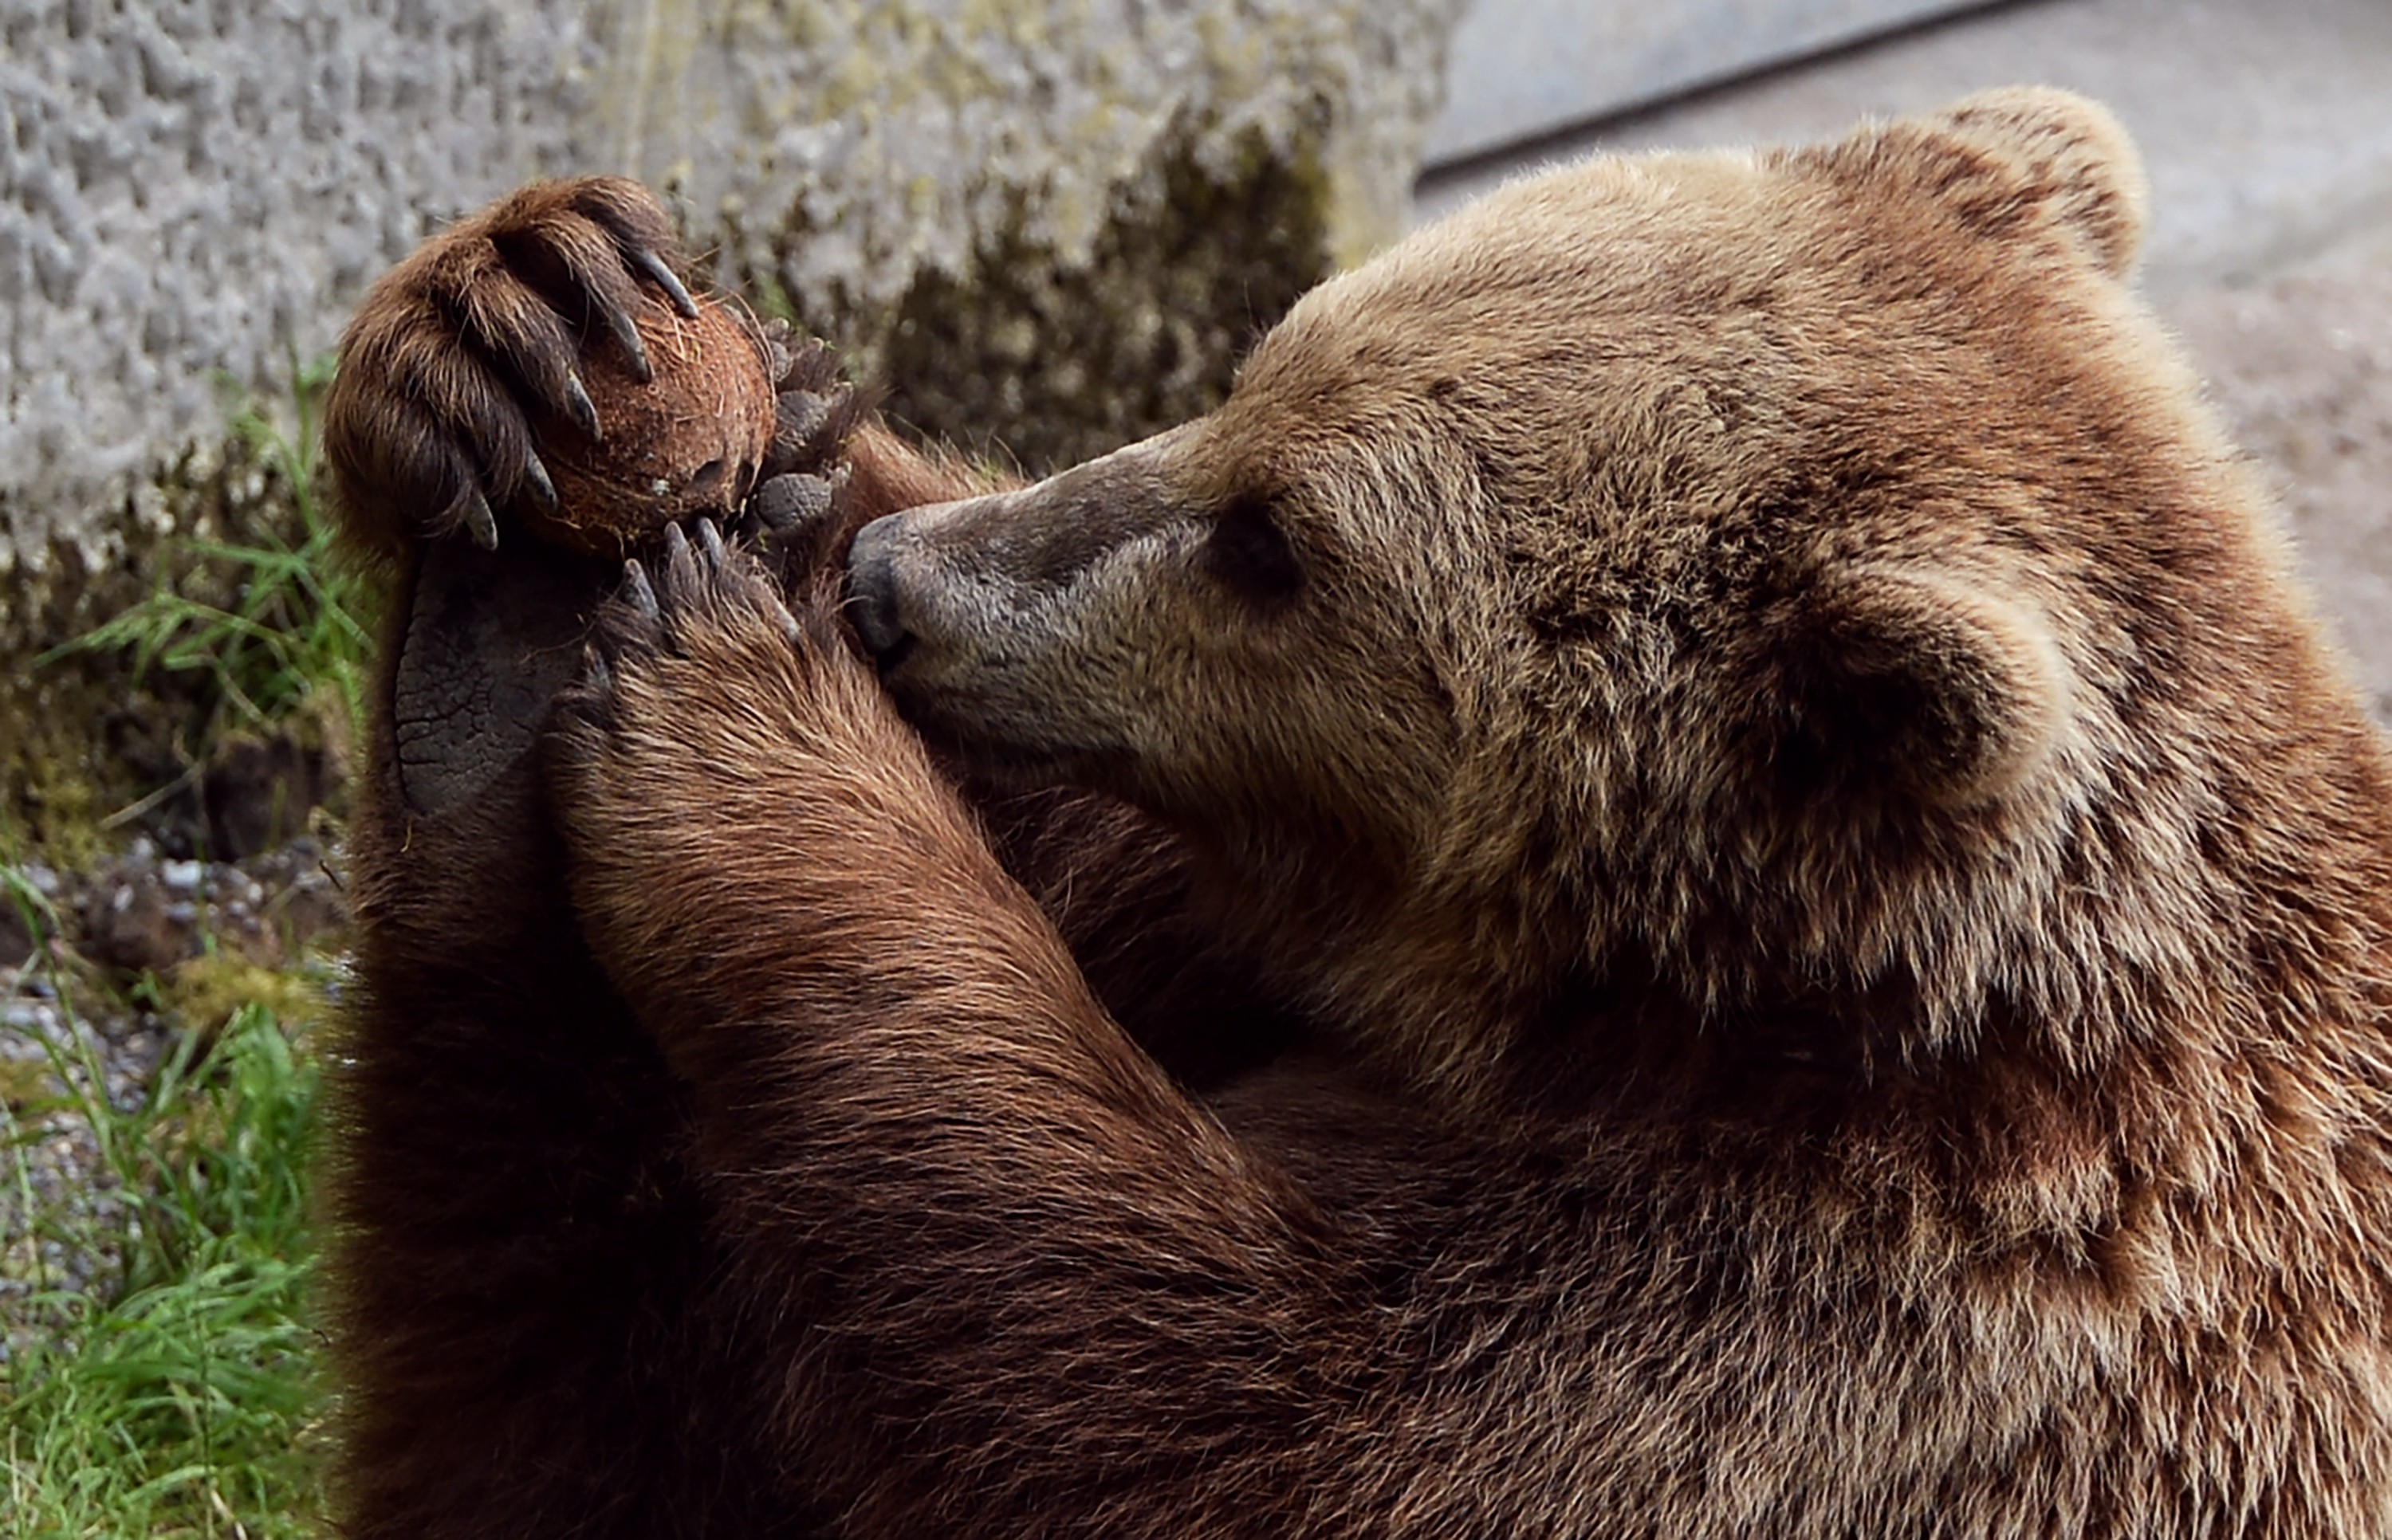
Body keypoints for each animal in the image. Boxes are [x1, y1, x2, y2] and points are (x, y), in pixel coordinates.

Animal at [328, 90, 2392, 1530]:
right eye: (1250, 371)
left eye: (1275, 550)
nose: (906, 591)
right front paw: (540, 323)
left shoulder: (1820, 1352)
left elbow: (1155, 1375)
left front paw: (740, 718)